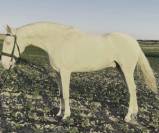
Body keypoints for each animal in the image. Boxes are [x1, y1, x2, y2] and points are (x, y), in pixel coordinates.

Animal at [0, 21, 158, 122]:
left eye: (8, 42)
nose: (4, 64)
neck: (57, 41)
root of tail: (134, 41)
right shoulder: (57, 73)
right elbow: (60, 93)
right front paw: (59, 113)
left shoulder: (65, 72)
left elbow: (66, 94)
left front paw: (66, 116)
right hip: (122, 70)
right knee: (133, 90)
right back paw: (134, 114)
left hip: (126, 70)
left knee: (132, 89)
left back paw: (127, 116)